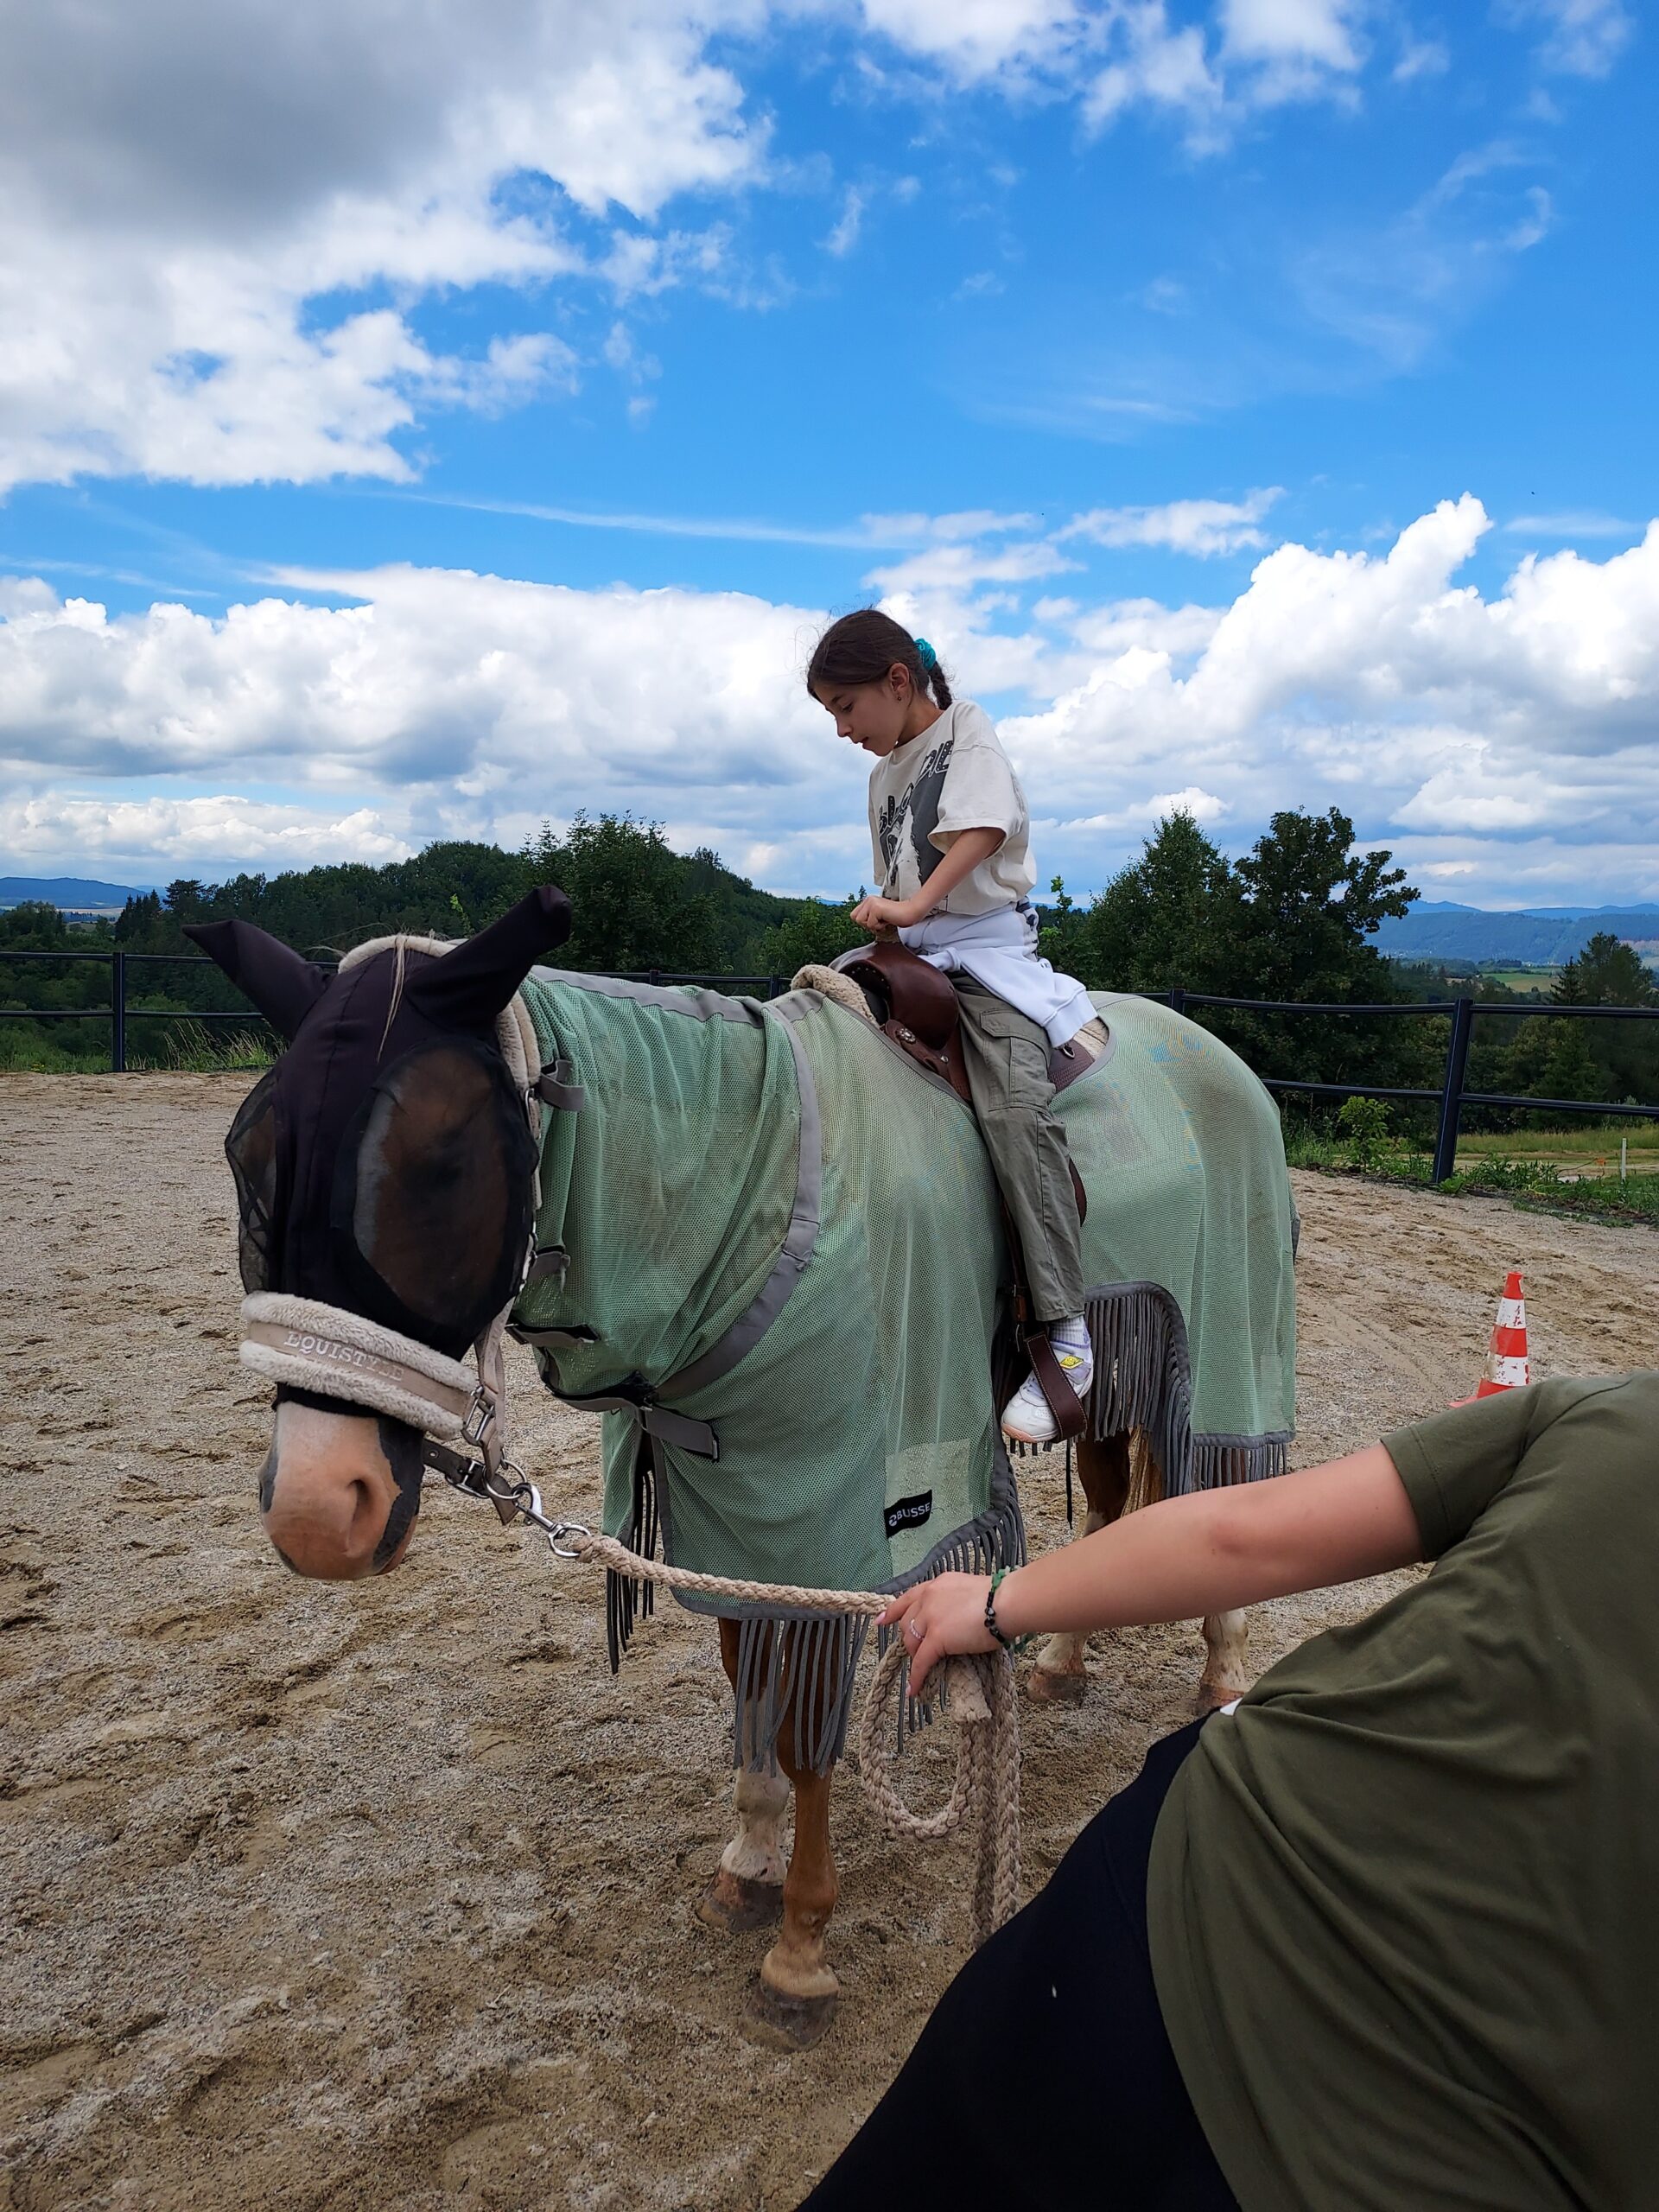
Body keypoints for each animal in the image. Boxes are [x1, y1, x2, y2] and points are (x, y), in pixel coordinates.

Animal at [186, 883, 1296, 2047]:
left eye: (441, 1163)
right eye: (247, 1154)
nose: (317, 1509)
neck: (746, 1195)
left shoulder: (832, 1523)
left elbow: (805, 1733)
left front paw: (800, 1948)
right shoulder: (734, 1512)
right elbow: (745, 1683)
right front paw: (750, 1863)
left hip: (1233, 1334)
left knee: (1228, 1485)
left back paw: (1224, 1673)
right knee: (1122, 1504)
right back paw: (1064, 1661)